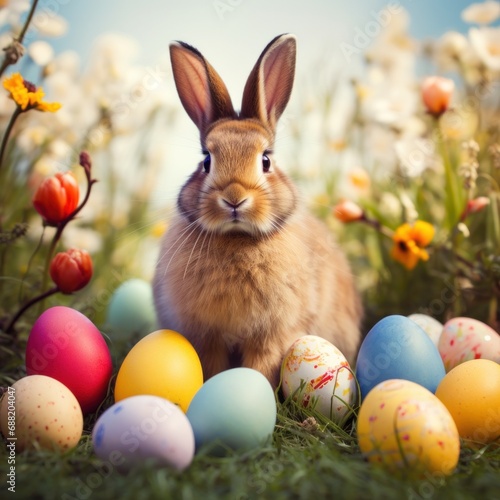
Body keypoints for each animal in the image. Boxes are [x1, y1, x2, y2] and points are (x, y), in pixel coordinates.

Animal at [153, 34, 364, 386]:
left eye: (265, 160)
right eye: (206, 160)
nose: (234, 198)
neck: (238, 239)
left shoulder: (273, 336)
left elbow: (260, 368)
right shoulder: (207, 338)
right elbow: (212, 369)